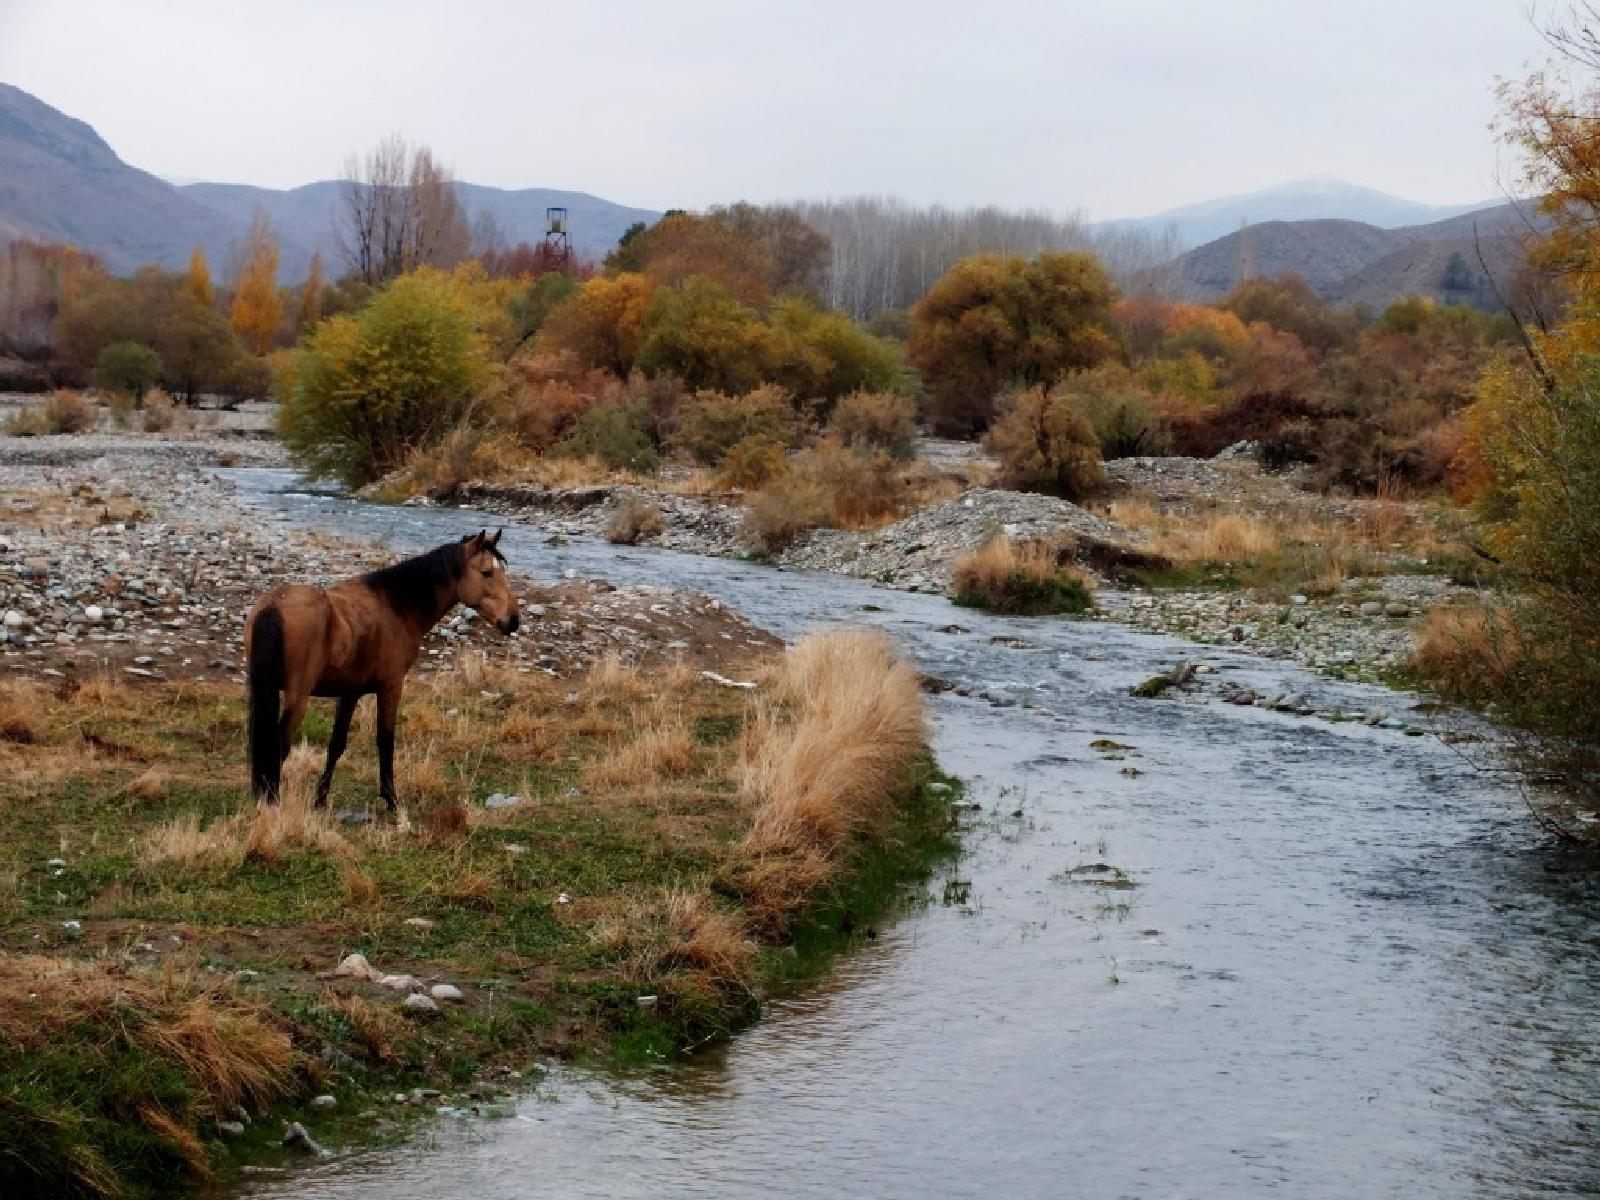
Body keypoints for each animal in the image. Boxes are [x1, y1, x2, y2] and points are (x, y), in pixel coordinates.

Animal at [243, 531, 521, 812]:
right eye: (487, 572)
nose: (513, 620)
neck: (395, 607)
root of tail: (274, 606)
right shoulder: (391, 687)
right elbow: (385, 741)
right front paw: (391, 800)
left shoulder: (350, 693)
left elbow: (336, 744)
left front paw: (320, 800)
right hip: (297, 696)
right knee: (277, 745)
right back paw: (272, 803)